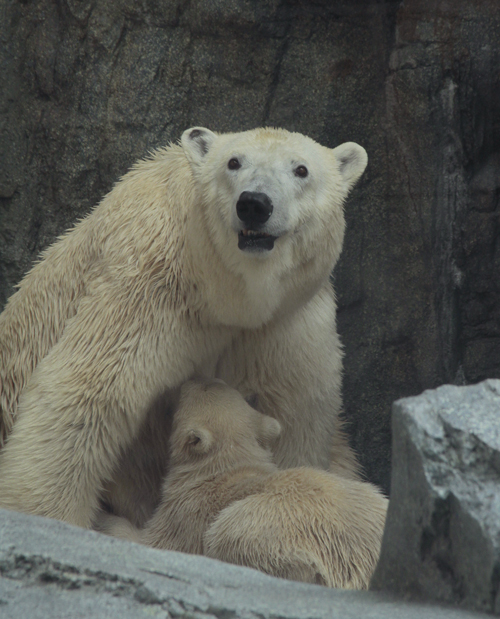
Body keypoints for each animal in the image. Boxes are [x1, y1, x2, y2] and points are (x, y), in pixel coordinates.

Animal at [0, 126, 368, 528]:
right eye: (233, 162)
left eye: (301, 169)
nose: (254, 203)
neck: (223, 293)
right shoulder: (150, 283)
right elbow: (90, 389)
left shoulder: (285, 320)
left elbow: (293, 410)